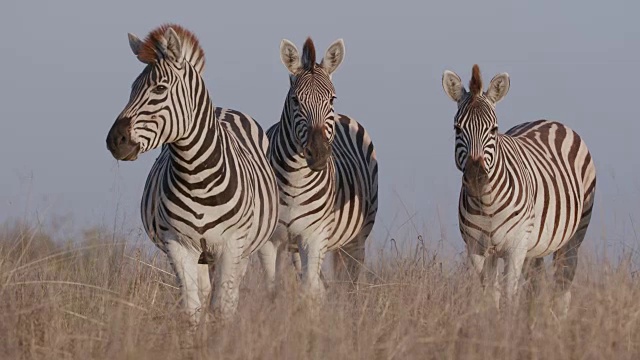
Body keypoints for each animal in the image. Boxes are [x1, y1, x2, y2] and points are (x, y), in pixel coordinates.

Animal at [105, 23, 278, 320]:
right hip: (201, 255)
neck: (197, 176)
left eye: (160, 88)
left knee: (230, 293)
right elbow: (192, 307)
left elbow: (223, 307)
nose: (115, 140)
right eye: (132, 89)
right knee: (206, 291)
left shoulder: (231, 246)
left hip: (247, 249)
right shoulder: (179, 246)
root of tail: (225, 108)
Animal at [262, 37, 380, 298]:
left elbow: (309, 288)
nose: (318, 154)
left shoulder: (314, 236)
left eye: (332, 99)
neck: (295, 180)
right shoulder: (270, 240)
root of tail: (343, 117)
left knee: (350, 282)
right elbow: (273, 288)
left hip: (358, 236)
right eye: (295, 100)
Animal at [442, 65, 596, 318]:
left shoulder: (515, 247)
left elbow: (508, 296)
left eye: (493, 130)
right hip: (534, 248)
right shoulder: (477, 249)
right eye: (457, 128)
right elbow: (489, 298)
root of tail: (550, 120)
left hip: (573, 236)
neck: (487, 203)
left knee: (563, 286)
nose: (476, 177)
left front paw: (508, 326)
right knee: (536, 286)